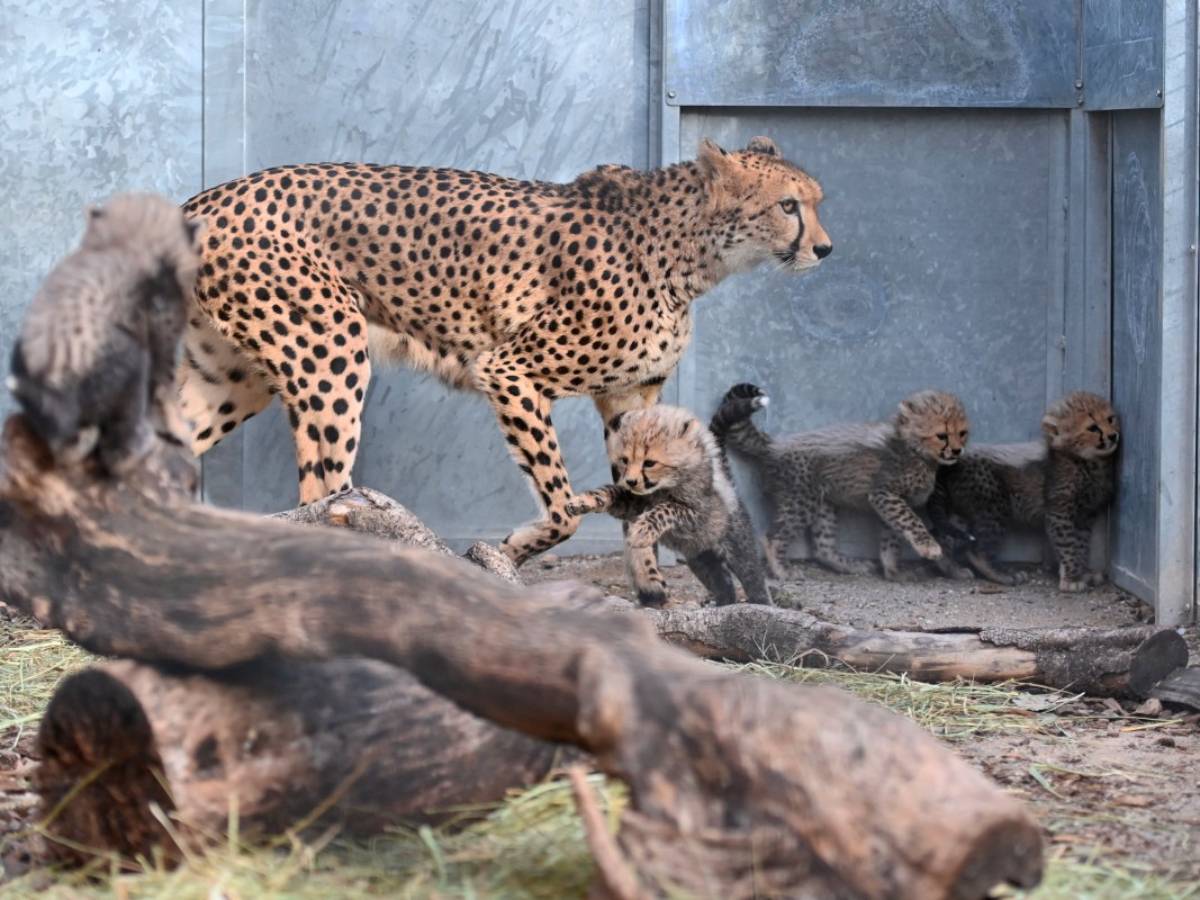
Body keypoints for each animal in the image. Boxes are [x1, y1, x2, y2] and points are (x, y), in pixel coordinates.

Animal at [9, 193, 202, 473]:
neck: (125, 242)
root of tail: (50, 384)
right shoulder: (160, 333)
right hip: (126, 364)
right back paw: (135, 448)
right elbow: (165, 388)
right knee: (116, 447)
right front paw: (180, 430)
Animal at [176, 135, 831, 565]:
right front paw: (517, 547)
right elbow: (562, 506)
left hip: (232, 378)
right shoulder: (510, 369)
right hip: (330, 350)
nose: (824, 249)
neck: (690, 254)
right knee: (324, 495)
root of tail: (206, 197)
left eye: (815, 200)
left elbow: (629, 490)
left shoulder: (629, 399)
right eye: (788, 205)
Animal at [565, 404, 771, 607]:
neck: (662, 486)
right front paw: (581, 502)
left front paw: (642, 531)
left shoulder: (697, 514)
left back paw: (761, 604)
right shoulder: (631, 503)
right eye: (625, 460)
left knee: (754, 579)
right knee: (723, 582)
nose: (631, 481)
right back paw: (722, 604)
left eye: (649, 463)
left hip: (737, 549)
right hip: (701, 559)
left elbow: (667, 508)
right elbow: (609, 491)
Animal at [711, 383, 970, 581]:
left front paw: (893, 571)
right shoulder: (884, 494)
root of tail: (774, 443)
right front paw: (929, 547)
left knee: (822, 548)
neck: (916, 451)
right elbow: (911, 521)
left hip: (823, 504)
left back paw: (850, 565)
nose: (957, 451)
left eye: (962, 433)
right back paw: (782, 570)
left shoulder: (888, 502)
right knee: (772, 537)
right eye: (942, 435)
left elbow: (891, 539)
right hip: (801, 500)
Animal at [929, 391, 1119, 592]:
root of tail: (950, 463)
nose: (1113, 435)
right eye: (1093, 428)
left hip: (964, 510)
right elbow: (1068, 544)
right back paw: (1002, 575)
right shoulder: (1059, 512)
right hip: (994, 507)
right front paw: (1072, 579)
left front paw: (1082, 573)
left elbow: (1080, 545)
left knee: (942, 535)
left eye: (1110, 419)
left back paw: (953, 570)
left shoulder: (1083, 515)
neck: (1087, 460)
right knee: (976, 550)